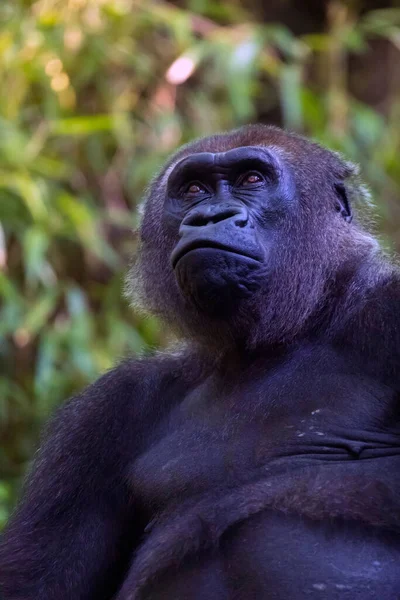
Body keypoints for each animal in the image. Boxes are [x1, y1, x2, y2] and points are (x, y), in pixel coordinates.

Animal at [0, 124, 400, 596]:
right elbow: (40, 578)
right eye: (193, 189)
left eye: (252, 179)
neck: (299, 325)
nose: (211, 216)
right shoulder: (108, 410)